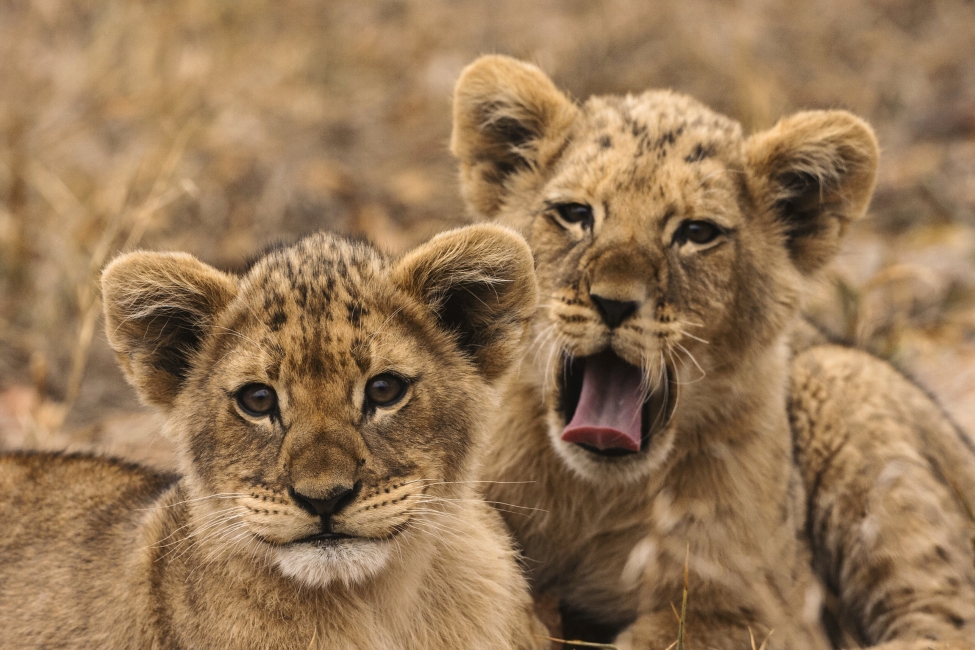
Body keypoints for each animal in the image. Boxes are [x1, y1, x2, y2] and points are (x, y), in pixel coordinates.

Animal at [450, 55, 975, 649]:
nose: (613, 303)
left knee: (943, 611)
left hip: (844, 385)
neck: (593, 497)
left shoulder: (757, 613)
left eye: (697, 232)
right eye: (575, 214)